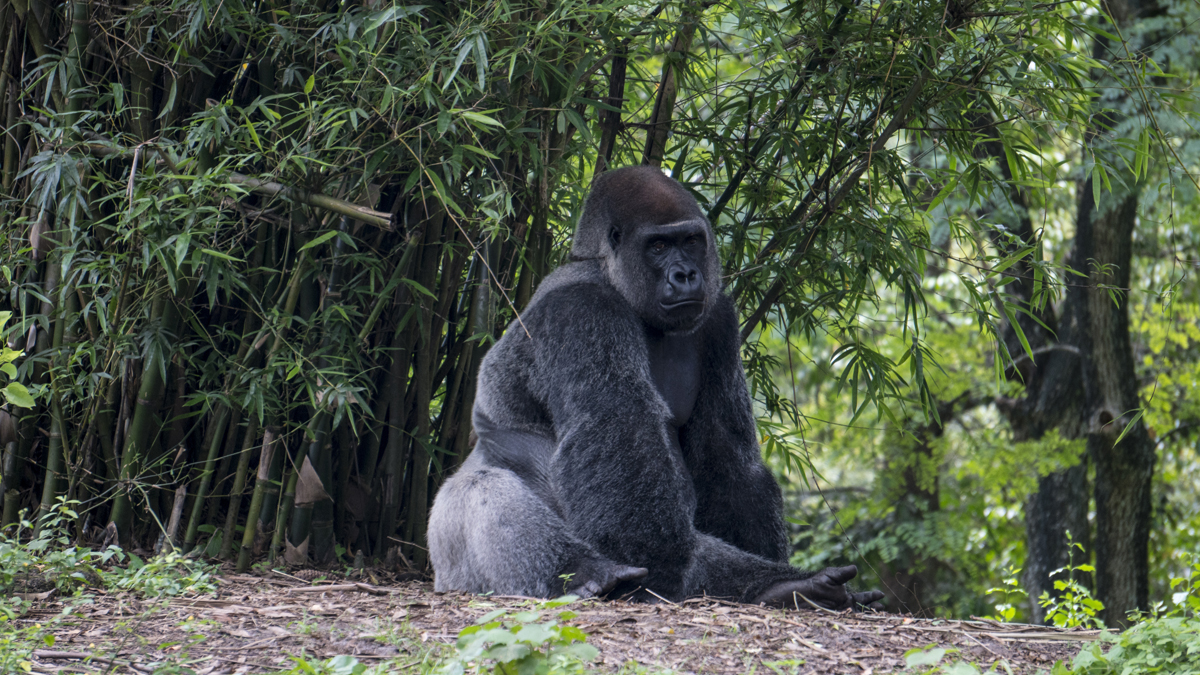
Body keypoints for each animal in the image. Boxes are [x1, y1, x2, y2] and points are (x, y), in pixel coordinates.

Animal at [429, 165, 883, 607]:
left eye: (691, 241)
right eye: (659, 246)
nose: (685, 275)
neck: (612, 275)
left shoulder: (718, 319)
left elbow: (725, 455)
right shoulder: (583, 310)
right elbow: (619, 425)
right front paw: (654, 559)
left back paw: (788, 587)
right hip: (450, 566)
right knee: (484, 490)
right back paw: (587, 572)